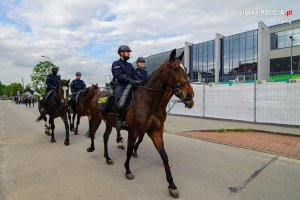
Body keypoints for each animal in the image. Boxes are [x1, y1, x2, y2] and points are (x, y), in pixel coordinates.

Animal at [86, 49, 195, 198]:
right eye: (176, 69)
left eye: (186, 69)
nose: (190, 96)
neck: (150, 102)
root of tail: (97, 94)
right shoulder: (134, 131)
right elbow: (129, 150)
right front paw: (128, 170)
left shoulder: (155, 132)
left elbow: (164, 156)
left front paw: (172, 185)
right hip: (96, 119)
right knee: (92, 132)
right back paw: (92, 148)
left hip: (109, 123)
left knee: (105, 137)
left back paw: (107, 157)